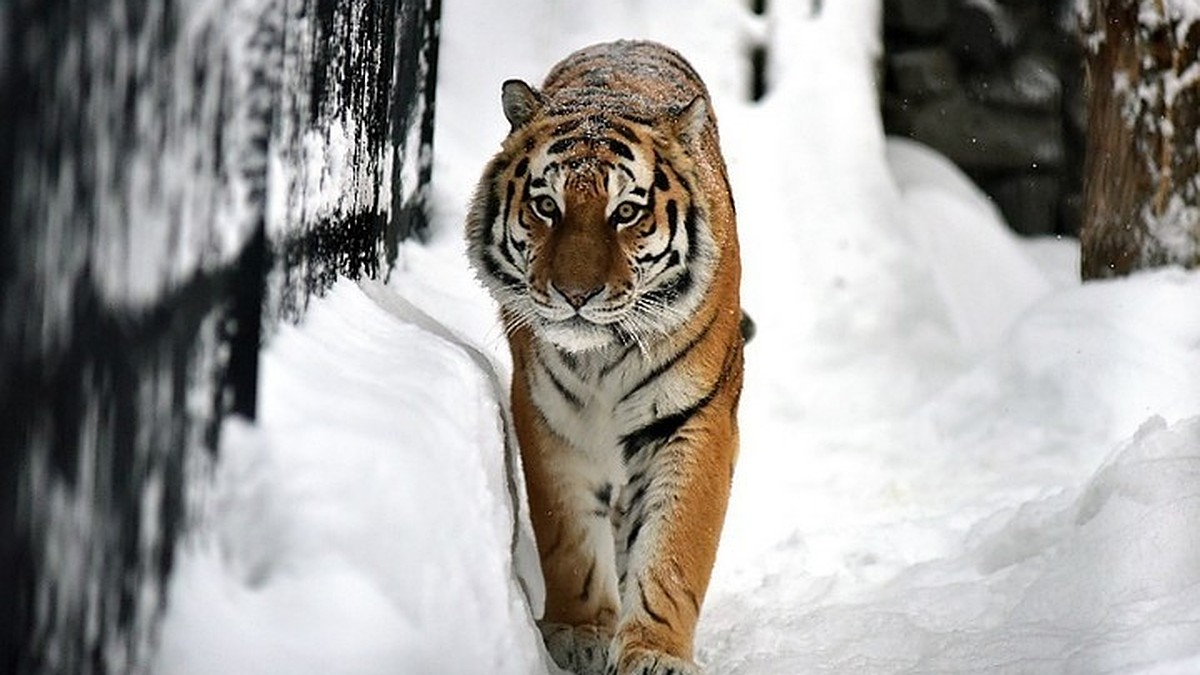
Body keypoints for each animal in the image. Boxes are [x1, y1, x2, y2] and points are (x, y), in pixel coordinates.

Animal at [465, 40, 739, 672]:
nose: (575, 294)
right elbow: (567, 535)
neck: (604, 357)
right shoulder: (550, 417)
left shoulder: (695, 417)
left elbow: (674, 544)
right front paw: (579, 632)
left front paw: (655, 652)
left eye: (626, 213)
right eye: (547, 206)